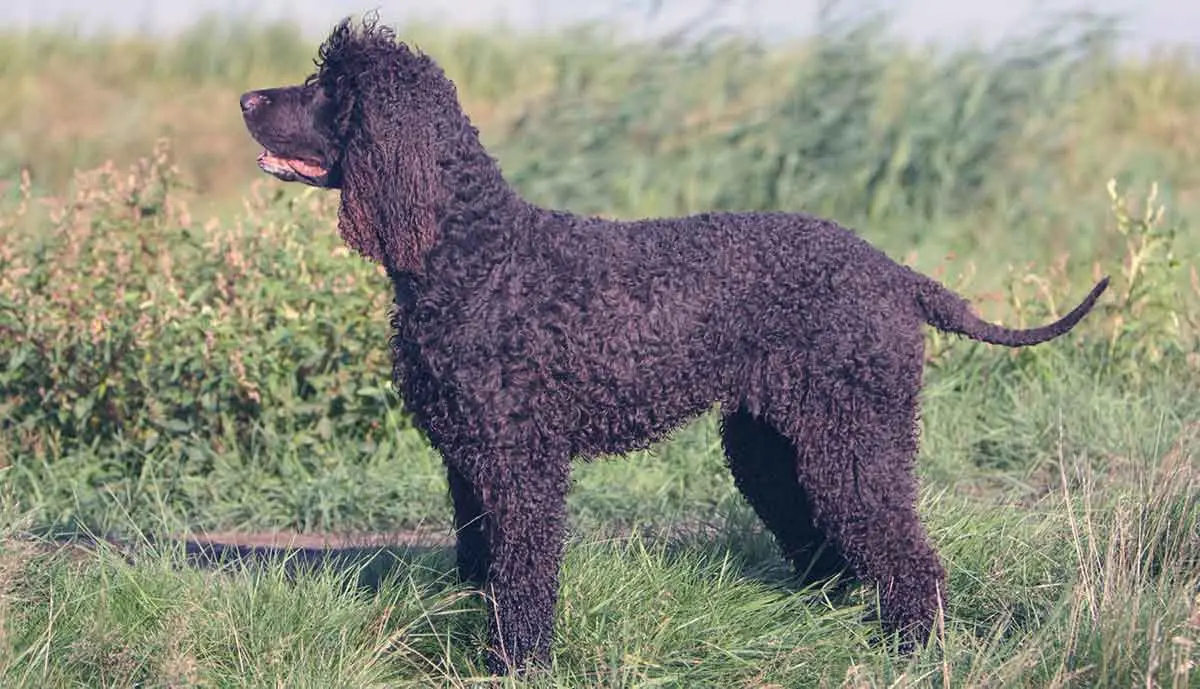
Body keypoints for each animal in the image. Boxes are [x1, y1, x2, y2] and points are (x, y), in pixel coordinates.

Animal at [238, 14, 1108, 676]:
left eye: (329, 89)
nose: (245, 95)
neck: (473, 251)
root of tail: (893, 270)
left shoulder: (521, 463)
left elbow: (522, 577)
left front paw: (517, 665)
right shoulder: (468, 458)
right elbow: (480, 567)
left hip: (854, 439)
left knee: (906, 556)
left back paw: (912, 652)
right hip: (773, 442)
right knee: (830, 547)